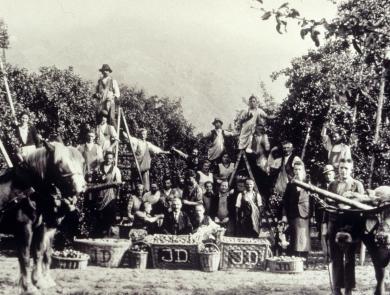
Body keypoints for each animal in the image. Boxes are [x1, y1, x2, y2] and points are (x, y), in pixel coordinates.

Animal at [0, 142, 86, 294]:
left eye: (82, 162)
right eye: (60, 162)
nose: (81, 186)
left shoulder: (43, 227)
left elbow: (41, 253)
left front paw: (40, 281)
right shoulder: (25, 228)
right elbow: (25, 256)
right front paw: (29, 286)